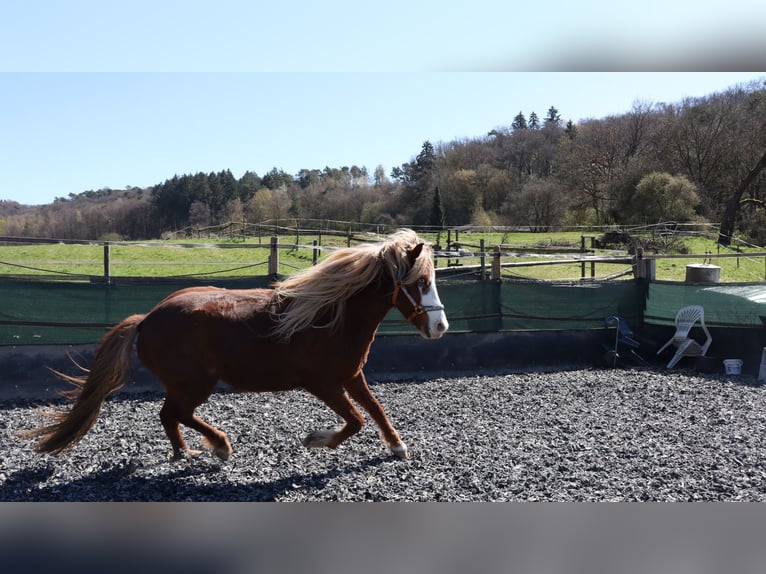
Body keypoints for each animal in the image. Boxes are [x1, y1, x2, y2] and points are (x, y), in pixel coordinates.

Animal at [25, 229, 449, 461]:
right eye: (421, 281)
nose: (441, 326)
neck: (331, 316)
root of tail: (146, 320)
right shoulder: (322, 383)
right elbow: (356, 420)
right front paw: (315, 440)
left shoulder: (351, 375)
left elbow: (375, 409)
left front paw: (398, 447)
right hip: (195, 383)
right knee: (176, 414)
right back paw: (220, 446)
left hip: (187, 384)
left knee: (169, 416)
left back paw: (186, 452)